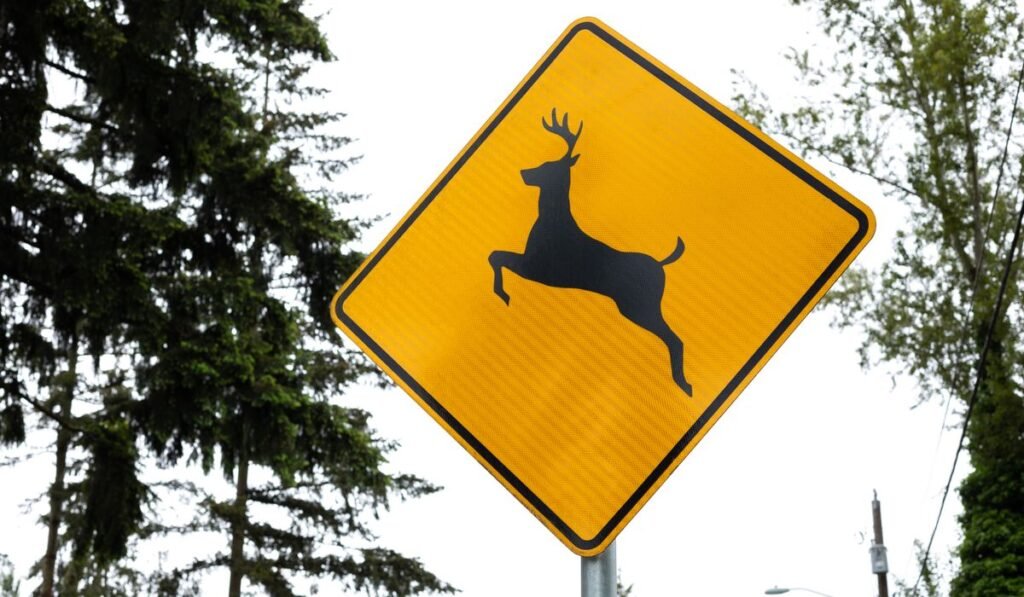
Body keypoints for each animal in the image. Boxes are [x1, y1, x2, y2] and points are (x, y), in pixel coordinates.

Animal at [489, 108, 693, 397]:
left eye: (549, 166)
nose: (524, 172)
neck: (553, 218)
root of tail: (662, 265)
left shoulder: (536, 266)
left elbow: (495, 256)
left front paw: (503, 294)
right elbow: (495, 255)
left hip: (640, 305)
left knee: (674, 339)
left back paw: (683, 385)